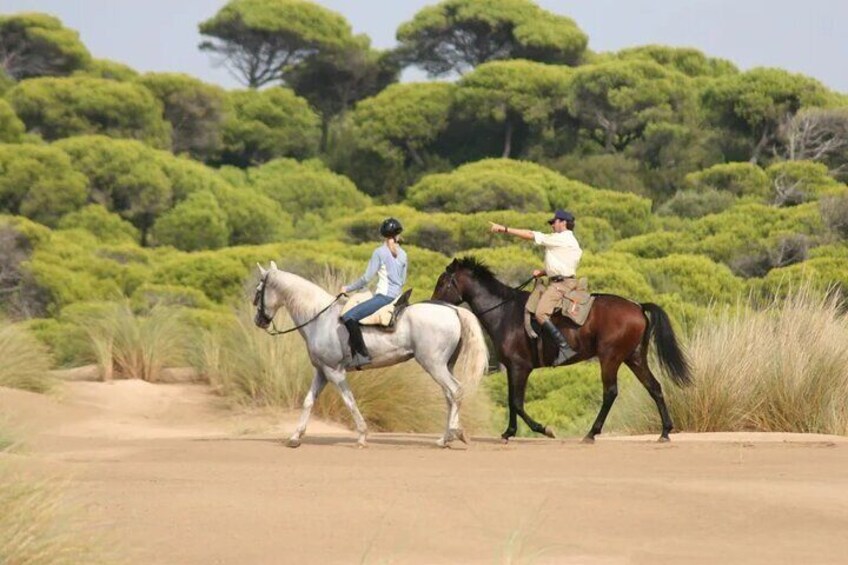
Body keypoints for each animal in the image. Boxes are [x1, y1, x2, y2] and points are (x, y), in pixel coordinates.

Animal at [255, 262, 486, 450]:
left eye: (258, 291)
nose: (259, 321)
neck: (319, 317)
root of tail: (453, 310)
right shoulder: (321, 371)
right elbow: (308, 401)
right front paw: (295, 437)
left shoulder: (334, 372)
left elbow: (349, 401)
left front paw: (362, 436)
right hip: (445, 366)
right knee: (450, 396)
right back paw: (446, 437)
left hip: (434, 365)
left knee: (455, 391)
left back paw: (452, 435)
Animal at [430, 258, 688, 442]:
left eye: (443, 282)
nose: (432, 303)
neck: (505, 313)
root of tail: (637, 306)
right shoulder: (512, 368)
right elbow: (512, 401)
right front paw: (509, 432)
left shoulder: (520, 367)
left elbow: (516, 402)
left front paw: (543, 429)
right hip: (634, 358)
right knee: (654, 387)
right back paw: (665, 432)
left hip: (610, 358)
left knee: (611, 392)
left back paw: (591, 433)